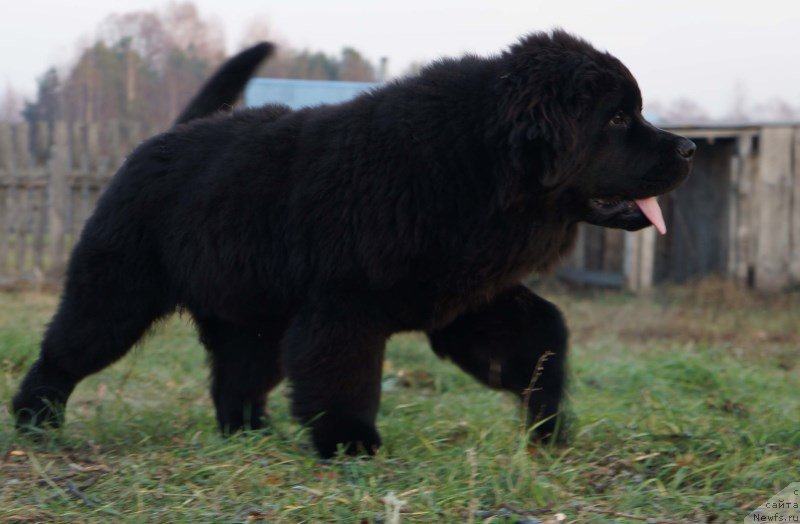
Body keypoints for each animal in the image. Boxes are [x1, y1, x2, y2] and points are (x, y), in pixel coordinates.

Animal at [10, 31, 692, 458]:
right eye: (617, 119)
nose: (688, 147)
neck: (479, 168)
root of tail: (161, 140)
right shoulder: (345, 305)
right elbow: (343, 375)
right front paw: (351, 445)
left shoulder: (466, 296)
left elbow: (541, 334)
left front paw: (547, 422)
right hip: (116, 293)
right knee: (63, 354)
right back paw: (35, 424)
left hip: (251, 317)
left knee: (236, 381)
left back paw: (251, 437)